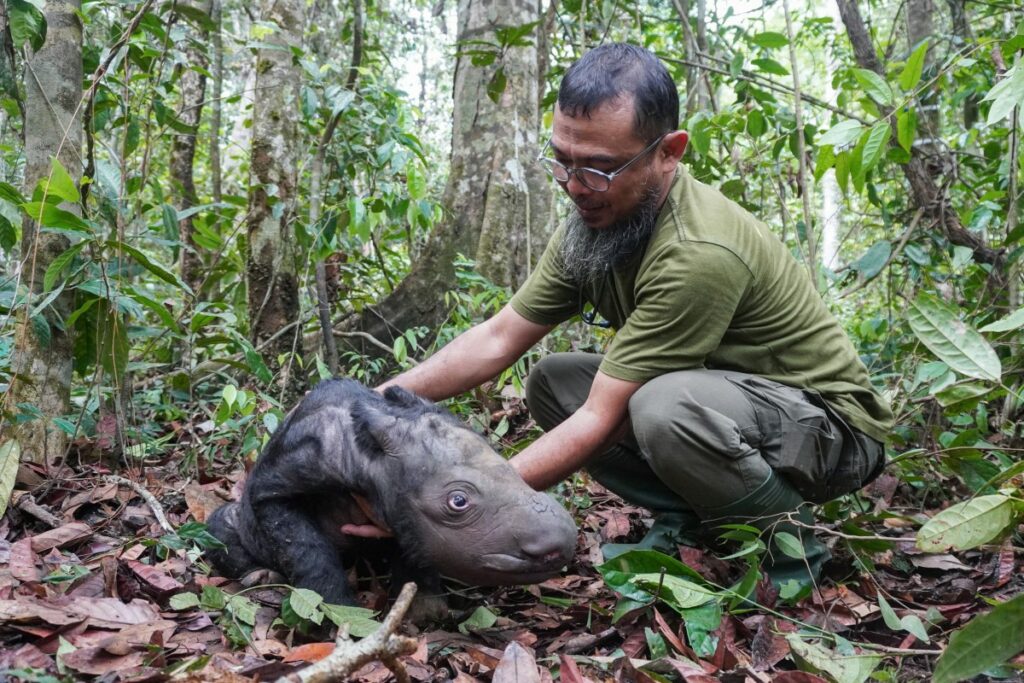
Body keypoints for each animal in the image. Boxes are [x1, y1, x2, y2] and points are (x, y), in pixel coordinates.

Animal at [207, 378, 577, 610]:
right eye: (458, 501)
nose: (561, 543)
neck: (369, 456)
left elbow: (412, 548)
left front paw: (426, 609)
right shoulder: (280, 481)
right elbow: (303, 547)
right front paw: (339, 613)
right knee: (219, 525)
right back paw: (258, 576)